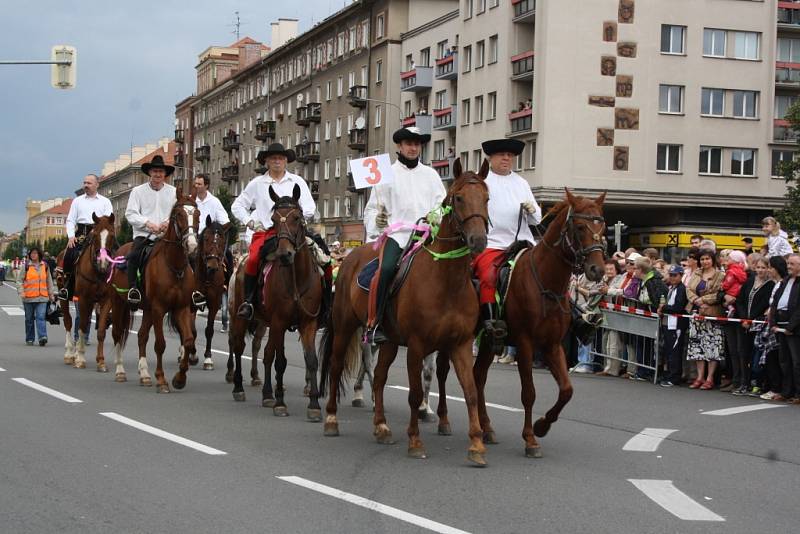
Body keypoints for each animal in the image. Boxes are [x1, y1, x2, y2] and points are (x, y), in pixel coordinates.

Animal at [134, 194, 198, 394]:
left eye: (198, 214)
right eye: (179, 215)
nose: (192, 245)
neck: (174, 266)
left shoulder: (182, 308)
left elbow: (188, 340)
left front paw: (180, 378)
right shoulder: (158, 309)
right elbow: (160, 344)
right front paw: (161, 380)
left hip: (147, 310)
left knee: (141, 336)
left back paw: (144, 375)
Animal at [227, 184, 324, 422]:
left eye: (297, 217)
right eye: (273, 218)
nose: (284, 254)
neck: (296, 279)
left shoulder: (308, 323)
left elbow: (311, 360)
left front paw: (314, 405)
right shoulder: (280, 322)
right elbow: (280, 361)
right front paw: (280, 403)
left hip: (265, 322)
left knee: (265, 352)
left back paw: (267, 393)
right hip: (240, 318)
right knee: (239, 346)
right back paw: (239, 387)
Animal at [320, 160, 494, 468]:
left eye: (486, 198)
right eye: (458, 198)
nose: (478, 240)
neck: (445, 281)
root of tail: (352, 257)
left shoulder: (459, 345)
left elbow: (471, 393)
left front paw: (476, 445)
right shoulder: (416, 345)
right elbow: (414, 394)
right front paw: (415, 441)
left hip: (388, 341)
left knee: (378, 377)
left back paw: (381, 427)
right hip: (344, 327)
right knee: (336, 365)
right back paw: (331, 419)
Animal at [468, 191, 608, 458]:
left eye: (602, 225)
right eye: (579, 226)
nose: (597, 269)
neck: (546, 282)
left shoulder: (552, 345)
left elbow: (566, 390)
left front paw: (542, 426)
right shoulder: (525, 344)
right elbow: (529, 393)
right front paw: (531, 439)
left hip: (489, 343)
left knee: (478, 376)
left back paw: (487, 428)